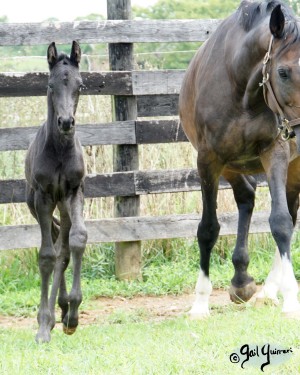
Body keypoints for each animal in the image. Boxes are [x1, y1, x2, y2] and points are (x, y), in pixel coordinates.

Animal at [179, 0, 300, 318]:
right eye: (283, 72)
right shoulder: (208, 160)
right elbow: (208, 229)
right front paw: (200, 303)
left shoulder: (276, 152)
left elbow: (281, 221)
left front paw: (291, 300)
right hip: (232, 166)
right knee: (246, 196)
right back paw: (243, 281)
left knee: (288, 214)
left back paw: (267, 289)